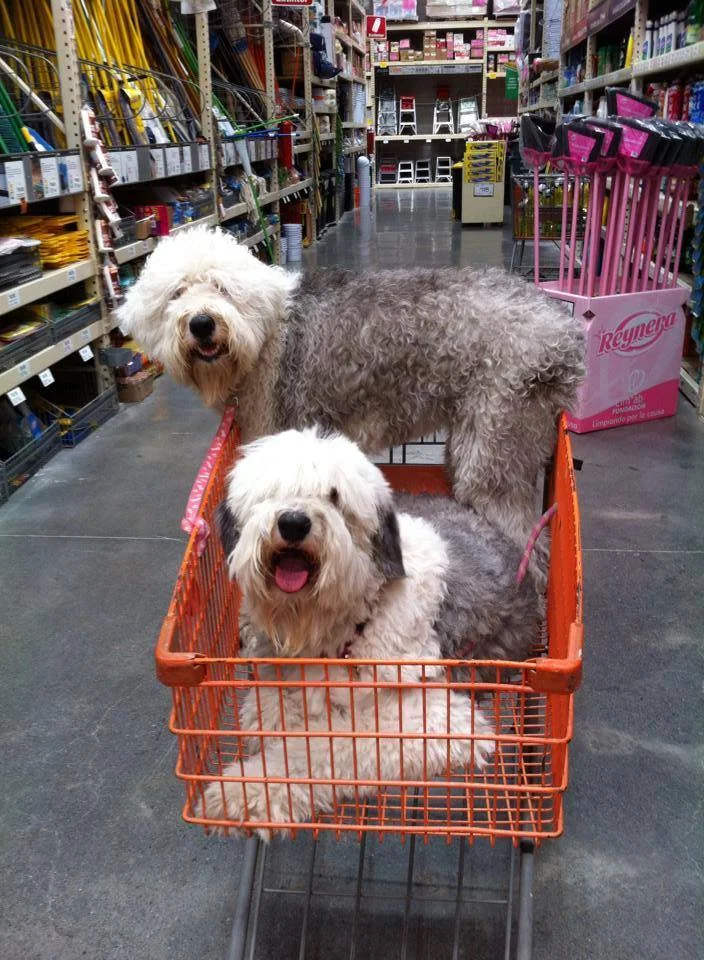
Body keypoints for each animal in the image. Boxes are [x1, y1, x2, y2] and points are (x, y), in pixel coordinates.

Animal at [116, 226, 584, 560]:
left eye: (221, 288)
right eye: (176, 294)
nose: (201, 323)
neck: (264, 333)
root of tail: (562, 329)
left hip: (496, 440)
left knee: (528, 539)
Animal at [199, 428, 542, 837]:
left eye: (334, 495)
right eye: (272, 489)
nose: (294, 522)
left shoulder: (437, 717)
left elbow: (323, 749)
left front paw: (241, 792)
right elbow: (267, 706)